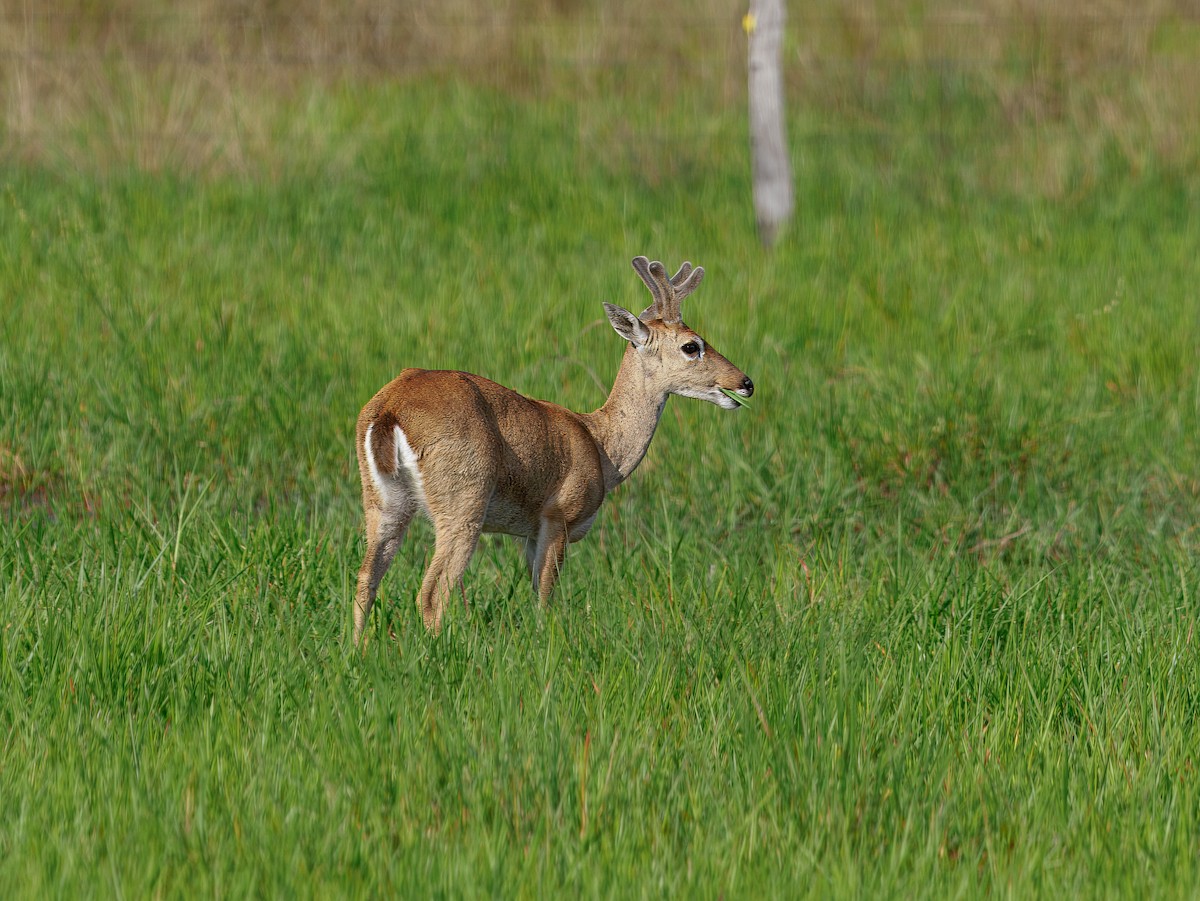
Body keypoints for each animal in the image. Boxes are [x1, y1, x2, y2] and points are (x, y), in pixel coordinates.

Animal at [353, 255, 754, 641]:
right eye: (692, 345)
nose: (745, 382)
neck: (601, 447)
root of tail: (390, 408)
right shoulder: (557, 517)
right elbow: (545, 598)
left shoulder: (531, 531)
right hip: (463, 502)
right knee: (433, 592)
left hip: (383, 502)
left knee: (365, 580)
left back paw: (357, 651)